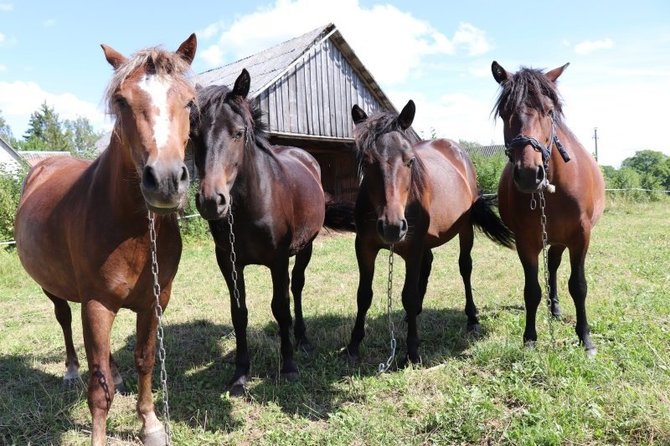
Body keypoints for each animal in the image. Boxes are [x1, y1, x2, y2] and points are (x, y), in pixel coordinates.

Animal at [14, 35, 198, 446]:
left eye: (190, 101)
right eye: (122, 101)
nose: (164, 181)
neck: (133, 231)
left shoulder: (155, 300)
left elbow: (145, 360)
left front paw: (150, 423)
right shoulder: (97, 304)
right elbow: (99, 391)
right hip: (55, 288)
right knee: (65, 320)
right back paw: (70, 369)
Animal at [189, 68, 356, 396]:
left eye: (238, 132)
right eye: (194, 135)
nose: (212, 201)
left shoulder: (278, 261)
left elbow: (280, 307)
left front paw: (289, 366)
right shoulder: (228, 263)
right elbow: (239, 313)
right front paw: (240, 375)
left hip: (305, 248)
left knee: (297, 288)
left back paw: (301, 339)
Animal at [344, 99, 516, 364]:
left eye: (409, 160)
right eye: (366, 160)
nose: (392, 226)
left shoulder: (412, 248)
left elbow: (409, 294)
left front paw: (413, 351)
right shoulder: (364, 247)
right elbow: (364, 295)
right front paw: (353, 345)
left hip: (465, 229)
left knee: (465, 267)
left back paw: (472, 318)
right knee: (428, 265)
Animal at [494, 61, 608, 356]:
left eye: (548, 111)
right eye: (504, 113)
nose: (528, 174)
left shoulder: (581, 236)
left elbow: (578, 286)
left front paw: (585, 338)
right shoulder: (526, 241)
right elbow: (532, 290)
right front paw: (530, 338)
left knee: (555, 266)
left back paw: (555, 308)